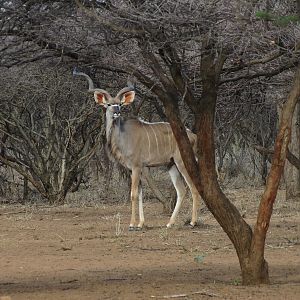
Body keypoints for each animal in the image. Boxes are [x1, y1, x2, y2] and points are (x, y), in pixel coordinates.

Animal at [73, 69, 200, 231]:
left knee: (193, 187)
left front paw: (132, 224)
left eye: (120, 104)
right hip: (171, 165)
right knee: (181, 190)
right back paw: (170, 223)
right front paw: (140, 224)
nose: (116, 112)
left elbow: (133, 194)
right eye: (108, 104)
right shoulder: (132, 169)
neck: (123, 136)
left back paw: (192, 222)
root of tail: (193, 135)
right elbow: (139, 194)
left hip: (182, 162)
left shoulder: (136, 166)